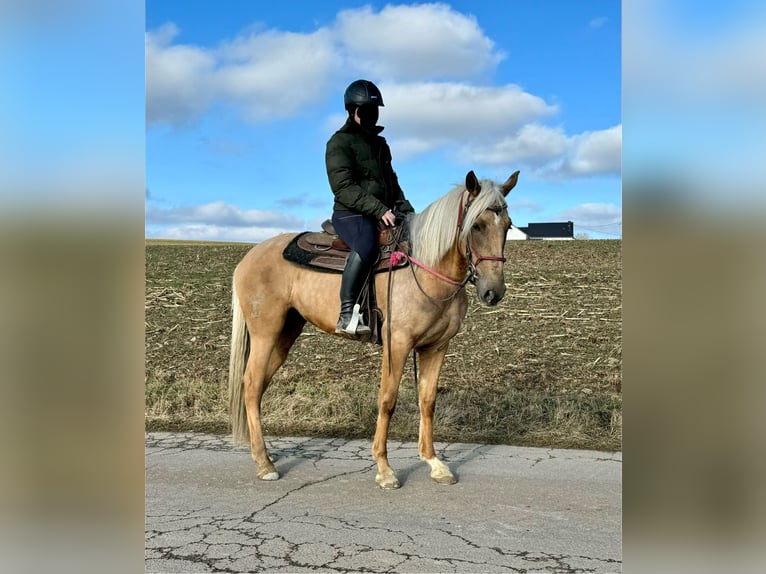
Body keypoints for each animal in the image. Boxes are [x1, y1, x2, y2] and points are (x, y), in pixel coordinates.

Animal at [225, 169, 520, 488]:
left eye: (507, 226)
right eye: (476, 225)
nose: (493, 292)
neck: (425, 269)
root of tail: (248, 257)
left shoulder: (437, 346)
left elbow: (427, 401)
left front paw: (434, 463)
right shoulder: (397, 343)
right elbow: (387, 400)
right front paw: (384, 468)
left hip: (284, 334)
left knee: (257, 387)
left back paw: (261, 454)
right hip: (265, 333)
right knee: (251, 384)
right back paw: (264, 463)